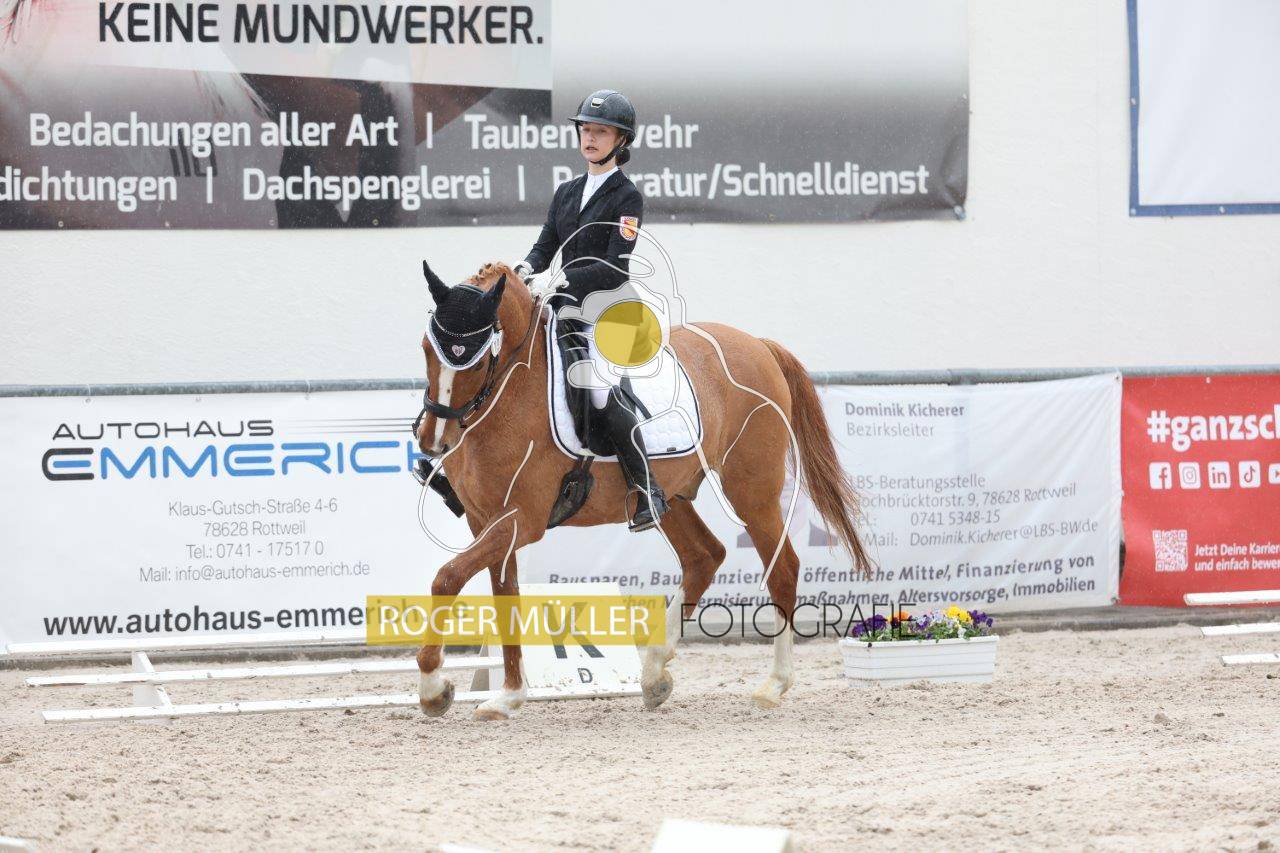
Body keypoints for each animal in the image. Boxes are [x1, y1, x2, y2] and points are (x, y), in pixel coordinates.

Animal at [414, 261, 872, 721]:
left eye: (474, 362)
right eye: (426, 348)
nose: (433, 441)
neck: (509, 392)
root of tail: (758, 345)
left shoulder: (523, 519)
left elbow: (446, 577)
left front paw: (434, 688)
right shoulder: (486, 520)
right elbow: (503, 597)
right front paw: (507, 696)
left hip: (752, 489)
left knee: (782, 568)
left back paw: (773, 685)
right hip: (668, 494)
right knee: (704, 556)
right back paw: (654, 673)